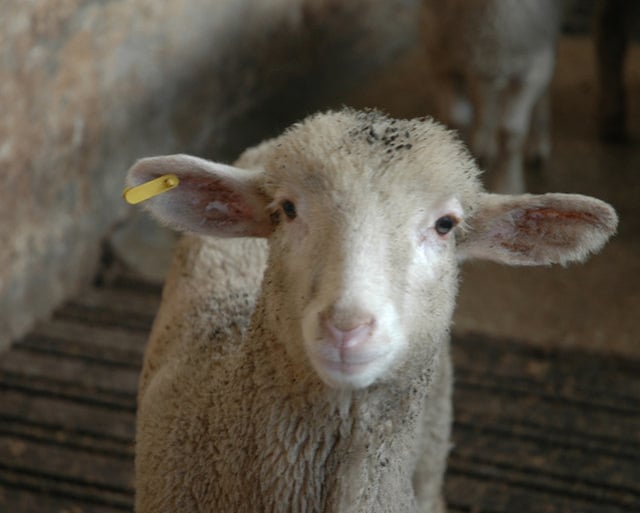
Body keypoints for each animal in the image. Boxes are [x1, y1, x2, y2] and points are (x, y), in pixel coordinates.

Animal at [422, 0, 571, 193]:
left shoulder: (532, 65)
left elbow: (509, 132)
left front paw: (507, 187)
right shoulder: (442, 62)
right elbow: (456, 120)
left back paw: (538, 143)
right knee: (485, 91)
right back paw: (486, 142)